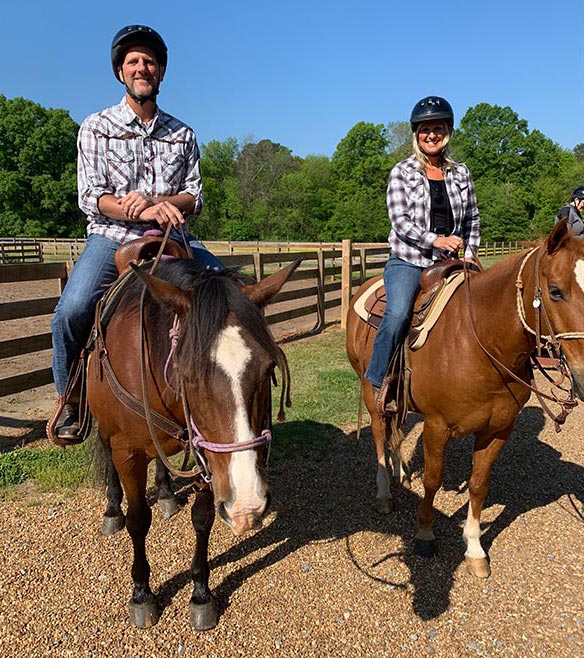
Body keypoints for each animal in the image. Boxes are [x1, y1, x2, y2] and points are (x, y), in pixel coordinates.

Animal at [88, 256, 296, 624]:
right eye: (188, 375)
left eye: (268, 368)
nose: (248, 506)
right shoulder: (128, 451)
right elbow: (138, 519)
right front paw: (142, 593)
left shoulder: (207, 457)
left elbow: (202, 519)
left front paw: (201, 593)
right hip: (107, 430)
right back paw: (112, 510)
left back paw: (168, 494)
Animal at [346, 219, 584, 576]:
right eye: (556, 291)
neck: (480, 343)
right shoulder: (436, 426)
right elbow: (433, 480)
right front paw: (425, 535)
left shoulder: (497, 430)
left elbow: (478, 484)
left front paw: (474, 549)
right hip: (370, 387)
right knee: (378, 433)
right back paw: (385, 493)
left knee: (396, 431)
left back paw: (401, 474)